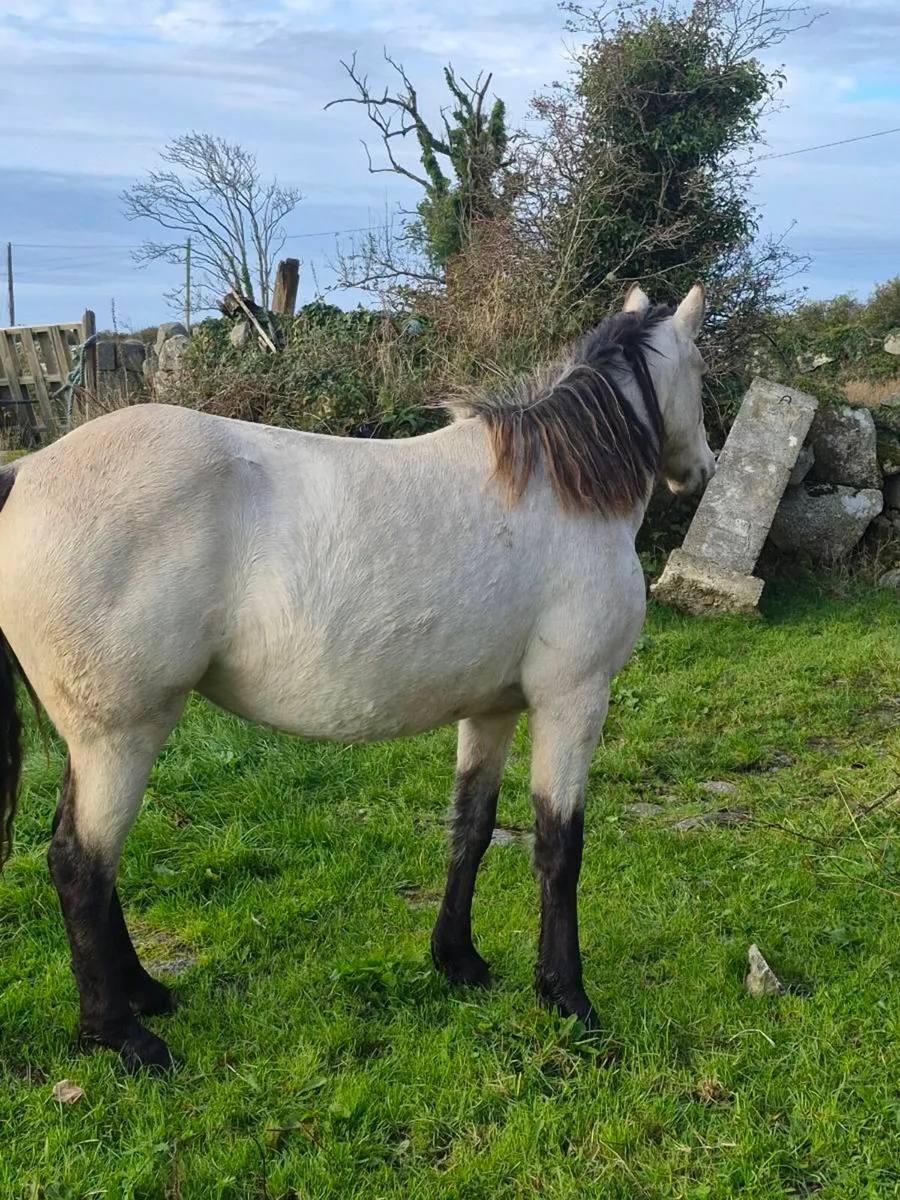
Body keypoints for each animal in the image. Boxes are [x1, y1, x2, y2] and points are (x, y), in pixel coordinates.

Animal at [0, 283, 714, 1072]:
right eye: (701, 370)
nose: (705, 469)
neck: (561, 488)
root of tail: (25, 473)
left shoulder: (493, 709)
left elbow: (472, 826)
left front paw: (458, 960)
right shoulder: (574, 699)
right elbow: (559, 847)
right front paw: (568, 996)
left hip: (100, 740)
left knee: (89, 860)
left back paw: (145, 994)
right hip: (120, 736)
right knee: (80, 865)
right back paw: (121, 1033)